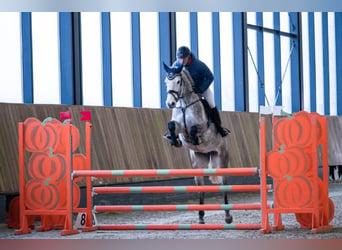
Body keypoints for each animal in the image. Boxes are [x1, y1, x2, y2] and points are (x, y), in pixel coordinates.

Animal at [163, 63, 232, 225]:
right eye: (166, 82)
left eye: (178, 82)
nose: (170, 103)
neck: (184, 105)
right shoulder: (180, 128)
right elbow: (172, 125)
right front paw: (174, 140)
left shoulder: (201, 126)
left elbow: (194, 129)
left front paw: (195, 139)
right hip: (199, 160)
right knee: (201, 187)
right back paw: (200, 216)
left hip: (221, 158)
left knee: (224, 183)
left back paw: (227, 216)